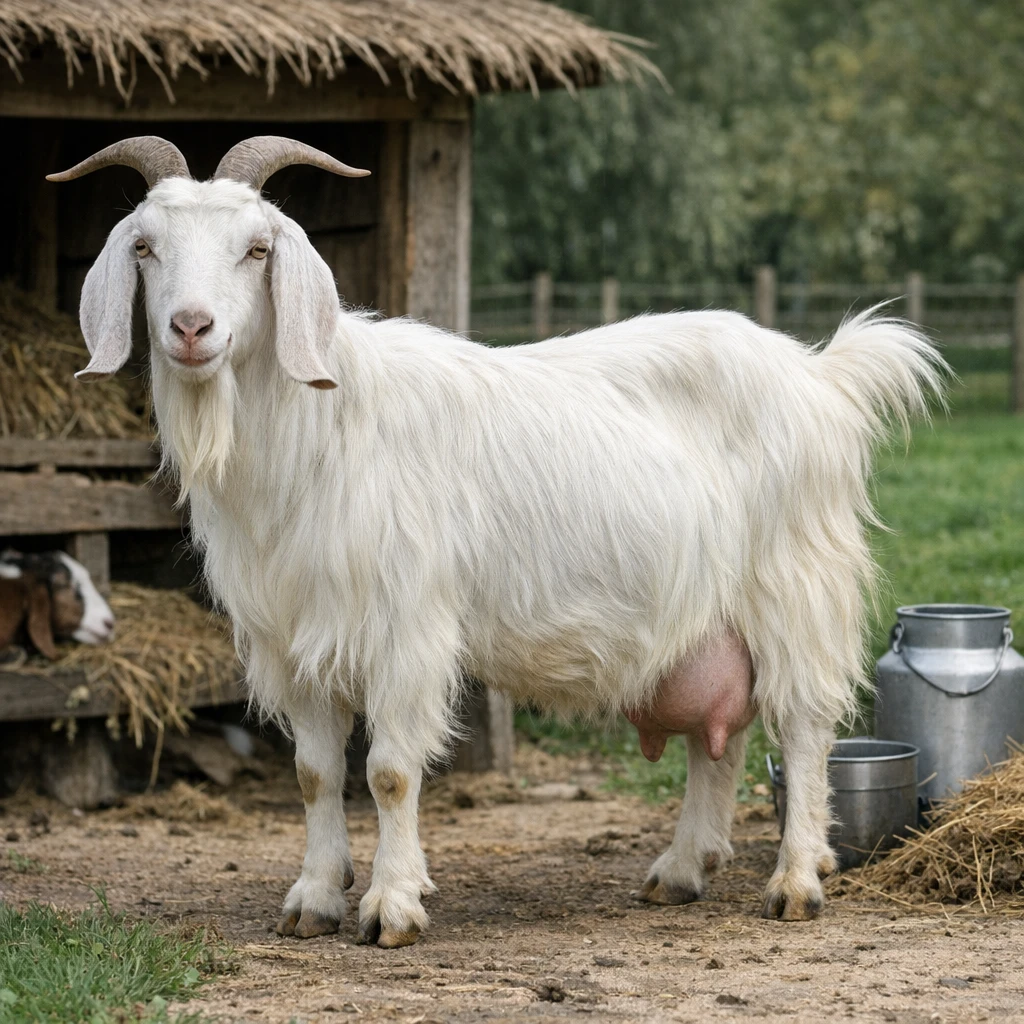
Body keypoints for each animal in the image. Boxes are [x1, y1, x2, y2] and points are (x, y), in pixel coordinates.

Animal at [49, 136, 944, 946]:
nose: (190, 328)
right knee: (714, 738)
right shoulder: (292, 639)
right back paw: (683, 869)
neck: (317, 425)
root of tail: (822, 377)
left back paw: (795, 882)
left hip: (795, 586)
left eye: (257, 248)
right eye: (144, 246)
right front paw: (314, 899)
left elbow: (389, 771)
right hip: (705, 617)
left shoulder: (405, 627)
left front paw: (392, 906)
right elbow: (313, 773)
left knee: (802, 728)